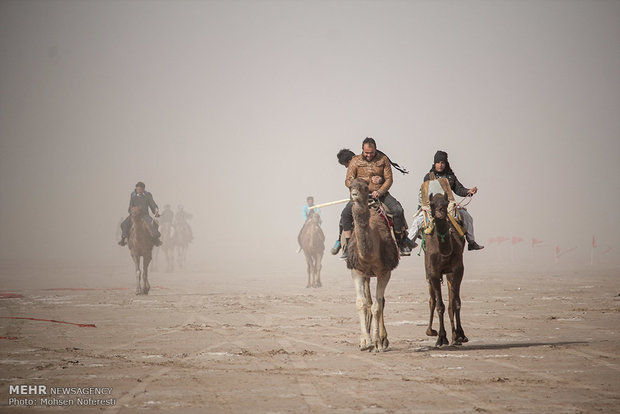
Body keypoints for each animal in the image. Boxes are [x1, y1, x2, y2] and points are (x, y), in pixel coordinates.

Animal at [346, 178, 400, 352]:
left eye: (365, 187)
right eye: (351, 186)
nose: (354, 194)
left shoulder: (385, 271)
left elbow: (378, 305)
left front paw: (377, 342)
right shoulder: (356, 270)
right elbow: (361, 303)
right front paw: (365, 342)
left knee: (380, 301)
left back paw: (383, 340)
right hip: (366, 275)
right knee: (369, 300)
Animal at [424, 193, 468, 346]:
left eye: (445, 202)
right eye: (431, 204)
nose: (440, 212)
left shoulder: (458, 270)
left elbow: (456, 303)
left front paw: (460, 335)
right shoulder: (433, 273)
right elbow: (439, 306)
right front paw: (441, 338)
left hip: (449, 274)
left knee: (451, 301)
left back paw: (455, 336)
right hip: (428, 274)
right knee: (432, 300)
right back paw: (430, 331)